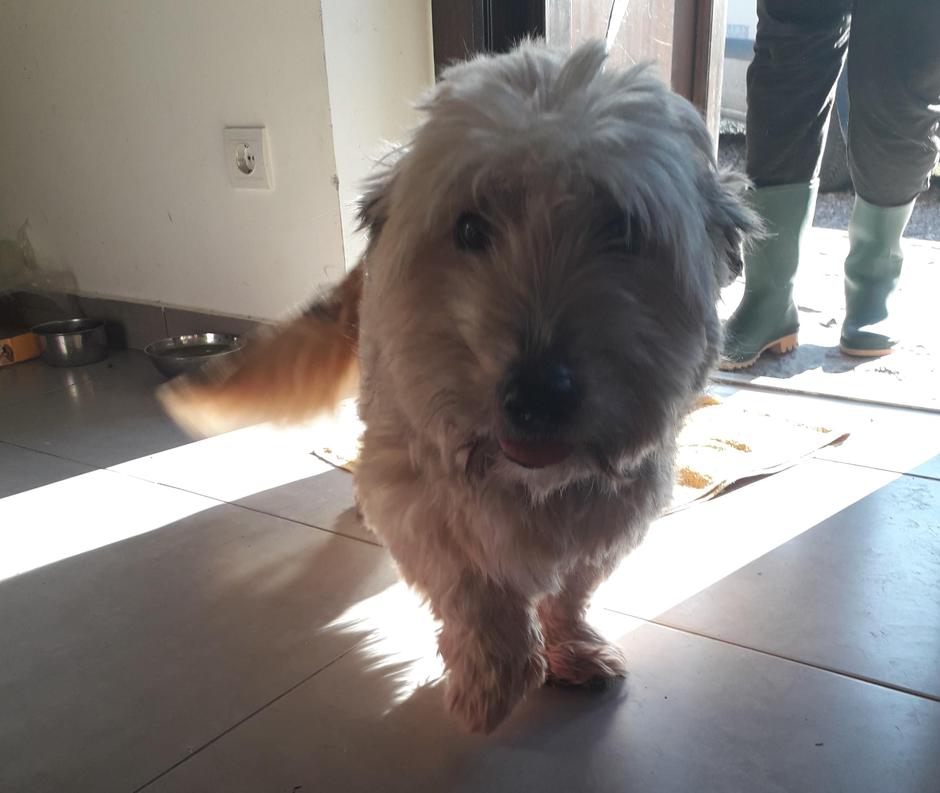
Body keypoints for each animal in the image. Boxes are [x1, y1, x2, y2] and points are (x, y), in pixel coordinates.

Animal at [159, 40, 755, 733]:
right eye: (469, 229)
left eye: (623, 230)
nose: (537, 395)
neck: (524, 481)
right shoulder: (419, 494)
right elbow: (471, 585)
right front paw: (498, 671)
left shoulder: (614, 502)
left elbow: (572, 586)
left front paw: (569, 645)